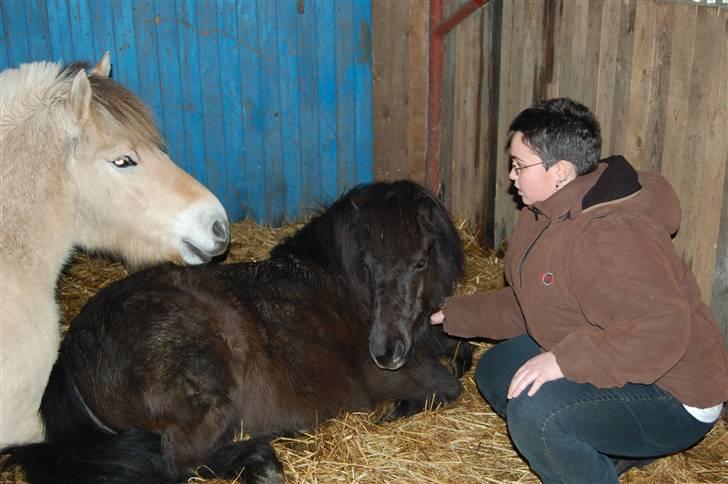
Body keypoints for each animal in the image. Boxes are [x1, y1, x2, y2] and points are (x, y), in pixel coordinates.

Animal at [2, 181, 472, 484]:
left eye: (420, 261)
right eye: (368, 264)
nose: (385, 353)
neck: (343, 287)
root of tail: (69, 355)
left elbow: (462, 351)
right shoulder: (407, 374)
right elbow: (448, 385)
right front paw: (396, 409)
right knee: (178, 462)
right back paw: (262, 462)